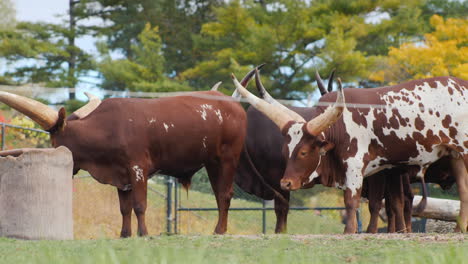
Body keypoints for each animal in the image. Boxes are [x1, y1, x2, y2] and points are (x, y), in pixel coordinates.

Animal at [0, 69, 260, 236]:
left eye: (55, 141)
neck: (106, 129)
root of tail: (232, 103)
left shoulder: (138, 169)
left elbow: (139, 205)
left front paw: (143, 233)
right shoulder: (120, 175)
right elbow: (124, 208)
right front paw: (125, 234)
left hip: (227, 158)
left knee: (225, 194)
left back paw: (219, 231)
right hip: (212, 162)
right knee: (219, 194)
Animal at [234, 70, 468, 233]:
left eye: (303, 152)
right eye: (285, 150)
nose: (286, 183)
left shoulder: (356, 164)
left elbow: (352, 200)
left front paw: (350, 231)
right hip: (455, 155)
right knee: (464, 190)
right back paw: (458, 229)